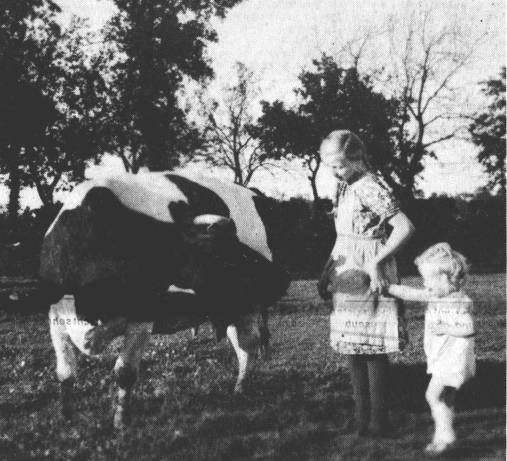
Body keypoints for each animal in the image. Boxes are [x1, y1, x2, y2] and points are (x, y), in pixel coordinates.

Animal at [2, 172, 290, 428]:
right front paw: (67, 418)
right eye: (223, 246)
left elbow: (125, 372)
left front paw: (121, 421)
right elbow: (65, 373)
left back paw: (241, 388)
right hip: (229, 307)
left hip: (247, 304)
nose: (270, 272)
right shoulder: (55, 316)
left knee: (249, 345)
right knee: (241, 344)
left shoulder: (143, 316)